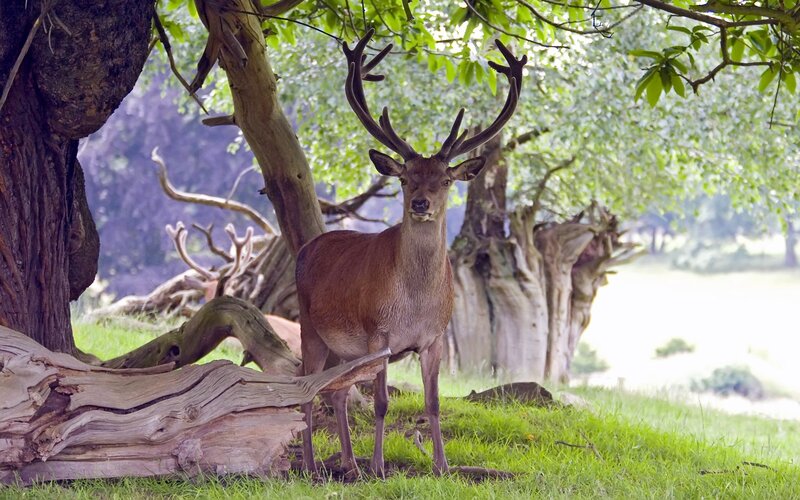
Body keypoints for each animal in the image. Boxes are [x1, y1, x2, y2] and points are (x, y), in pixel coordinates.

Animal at [296, 30, 526, 478]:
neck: (415, 303)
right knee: (307, 389)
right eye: (404, 178)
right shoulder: (378, 333)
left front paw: (443, 467)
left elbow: (433, 403)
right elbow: (383, 403)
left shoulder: (435, 338)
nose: (421, 203)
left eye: (445, 180)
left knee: (336, 393)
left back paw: (348, 464)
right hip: (308, 326)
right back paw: (316, 467)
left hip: (341, 347)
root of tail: (305, 246)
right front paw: (380, 467)